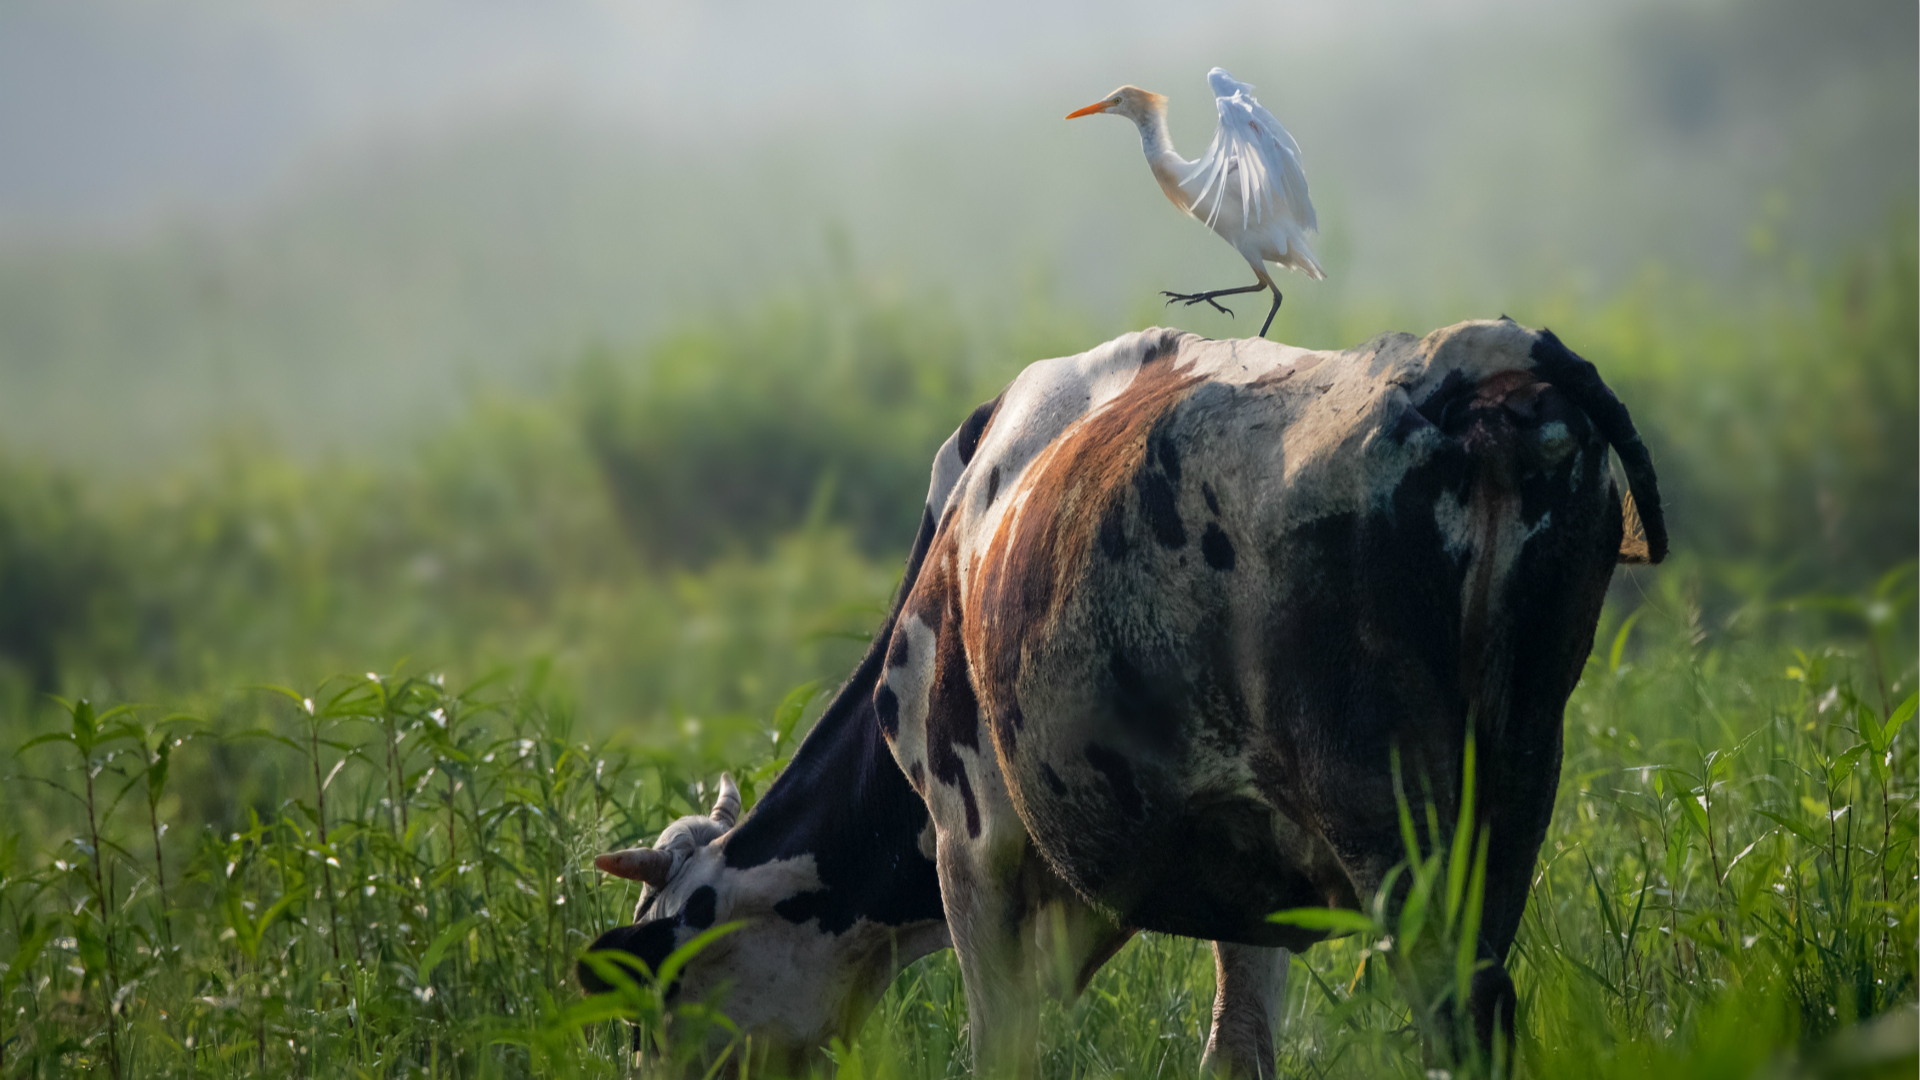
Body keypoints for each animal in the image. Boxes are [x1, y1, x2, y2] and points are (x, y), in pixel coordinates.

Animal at [579, 319, 1666, 1076]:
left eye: (653, 994)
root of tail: (1481, 355)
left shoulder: (973, 837)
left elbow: (1001, 1050)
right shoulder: (1245, 861)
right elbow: (1239, 1046)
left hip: (1388, 810)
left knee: (1458, 1015)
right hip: (1514, 788)